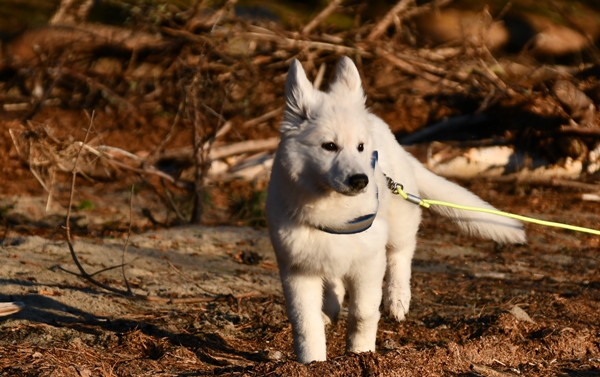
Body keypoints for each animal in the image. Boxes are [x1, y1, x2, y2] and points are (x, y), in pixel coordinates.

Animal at [264, 57, 524, 362]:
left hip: (399, 222)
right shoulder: (297, 269)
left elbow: (363, 313)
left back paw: (397, 298)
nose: (361, 180)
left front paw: (361, 352)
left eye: (360, 147)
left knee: (402, 253)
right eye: (329, 146)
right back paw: (331, 307)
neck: (332, 211)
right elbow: (306, 323)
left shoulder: (369, 263)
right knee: (335, 282)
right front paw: (312, 361)